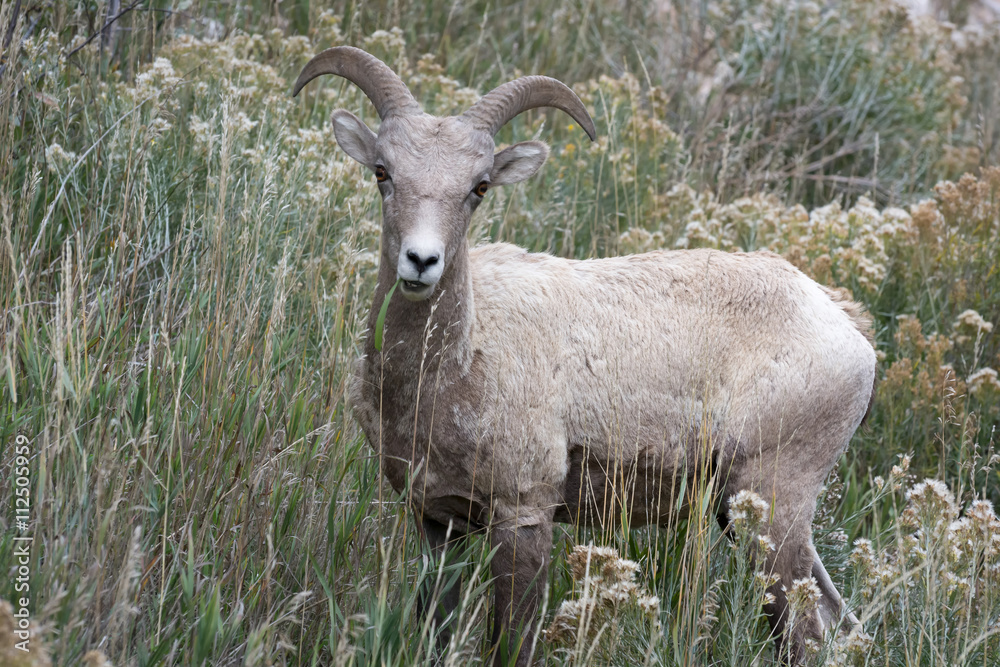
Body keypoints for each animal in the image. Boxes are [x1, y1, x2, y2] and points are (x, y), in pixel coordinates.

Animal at [293, 46, 877, 666]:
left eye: (479, 187)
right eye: (383, 172)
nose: (421, 261)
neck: (451, 371)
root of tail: (850, 329)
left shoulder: (523, 515)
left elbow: (512, 641)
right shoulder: (437, 521)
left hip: (773, 507)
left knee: (809, 631)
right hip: (743, 516)